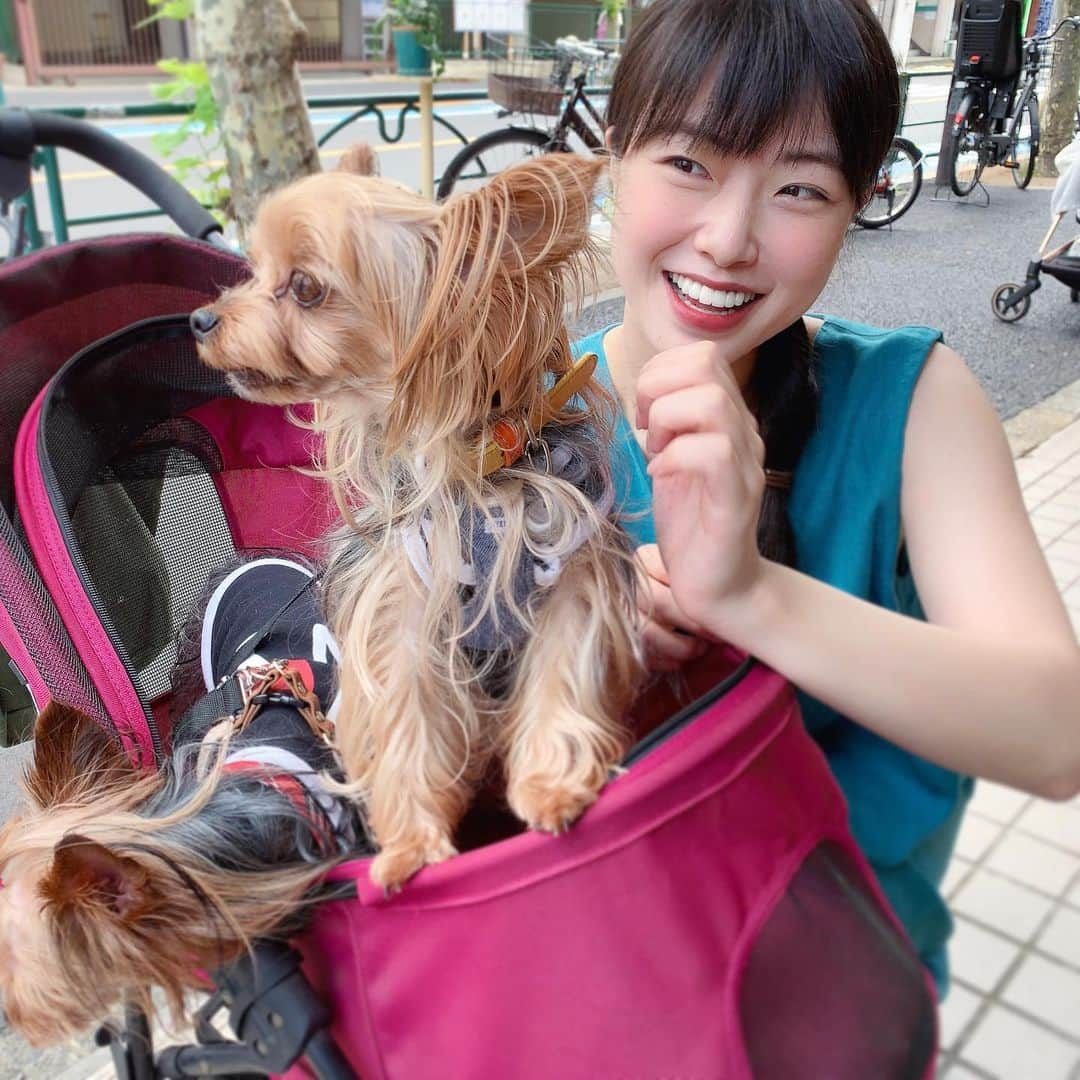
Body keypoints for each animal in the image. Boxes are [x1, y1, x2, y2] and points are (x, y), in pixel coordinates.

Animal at [191, 147, 643, 889]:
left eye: (305, 287)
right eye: (252, 270)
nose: (201, 320)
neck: (477, 467)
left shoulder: (567, 579)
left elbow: (561, 676)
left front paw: (550, 788)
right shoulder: (401, 606)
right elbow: (406, 715)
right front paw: (409, 845)